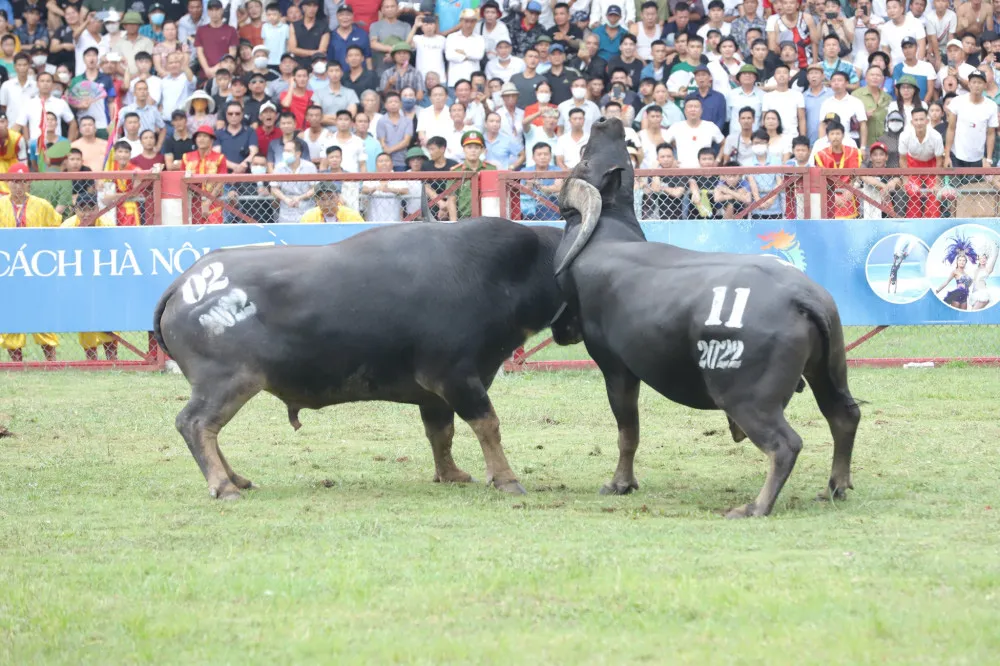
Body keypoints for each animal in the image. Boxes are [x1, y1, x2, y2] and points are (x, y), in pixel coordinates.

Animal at [152, 218, 584, 498]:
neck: (494, 274)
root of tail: (184, 284)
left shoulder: (435, 393)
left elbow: (440, 433)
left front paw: (451, 474)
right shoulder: (456, 377)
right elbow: (488, 425)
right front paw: (506, 479)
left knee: (208, 429)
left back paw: (237, 478)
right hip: (227, 381)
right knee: (195, 424)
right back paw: (224, 486)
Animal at [556, 116, 860, 516]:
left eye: (583, 157)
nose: (608, 120)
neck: (606, 233)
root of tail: (804, 296)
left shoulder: (616, 368)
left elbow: (627, 432)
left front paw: (620, 484)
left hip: (748, 398)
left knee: (786, 444)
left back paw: (755, 507)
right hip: (828, 373)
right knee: (844, 416)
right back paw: (835, 487)